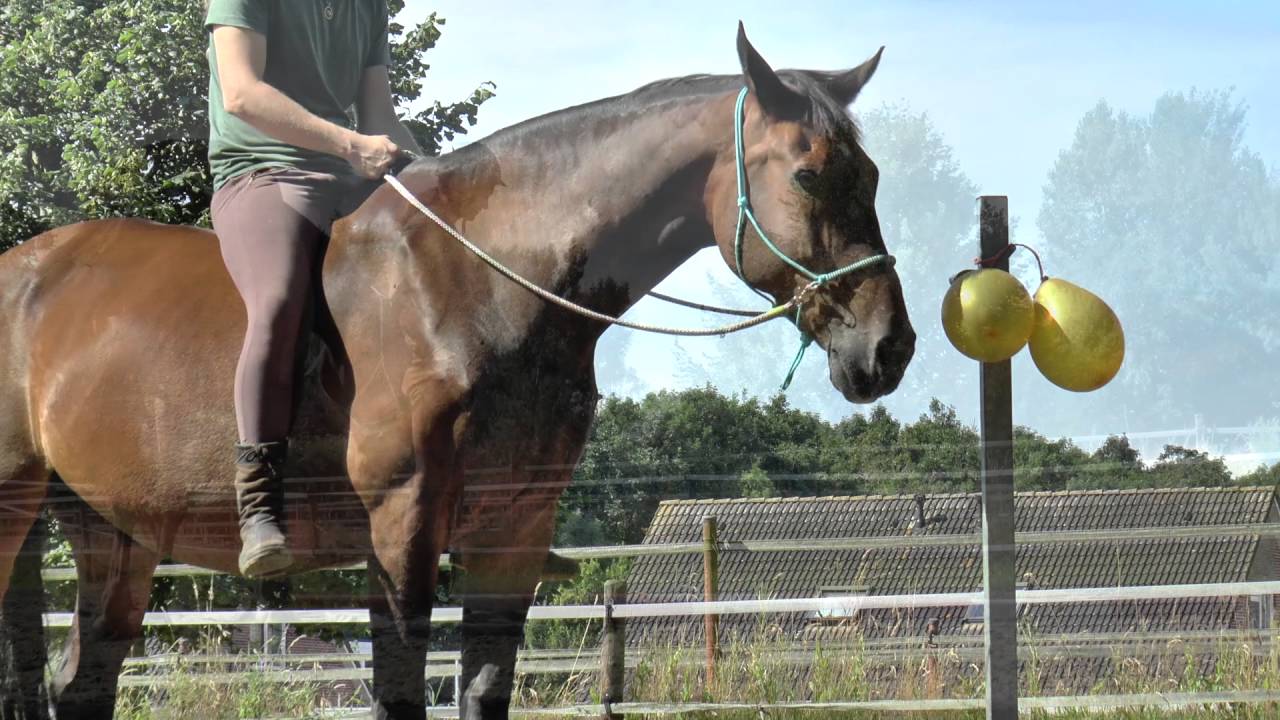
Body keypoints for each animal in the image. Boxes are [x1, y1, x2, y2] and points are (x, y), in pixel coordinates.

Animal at [0, 25, 914, 720]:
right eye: (808, 174)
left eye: (871, 175)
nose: (890, 347)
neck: (484, 282)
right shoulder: (402, 527)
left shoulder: (513, 533)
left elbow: (483, 692)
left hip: (111, 532)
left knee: (79, 685)